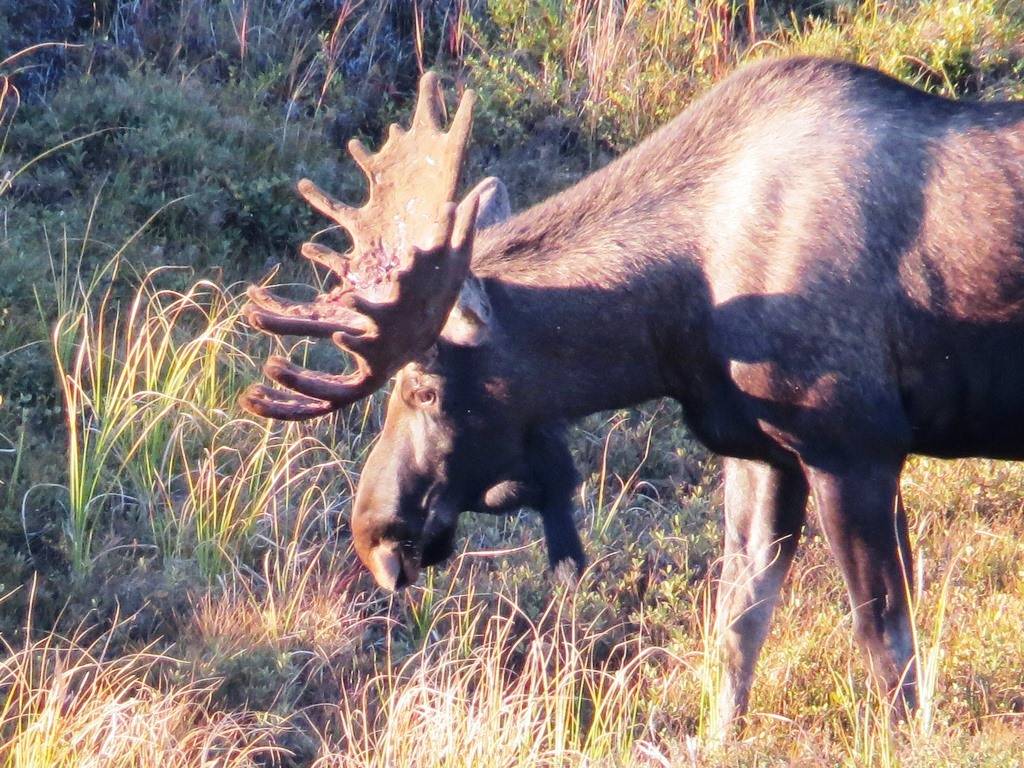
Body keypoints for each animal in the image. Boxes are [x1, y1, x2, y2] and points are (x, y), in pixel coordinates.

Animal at [238, 57, 1024, 731]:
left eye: (425, 388)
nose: (372, 532)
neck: (675, 319)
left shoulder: (855, 445)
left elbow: (886, 643)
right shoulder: (761, 451)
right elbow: (737, 627)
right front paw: (717, 740)